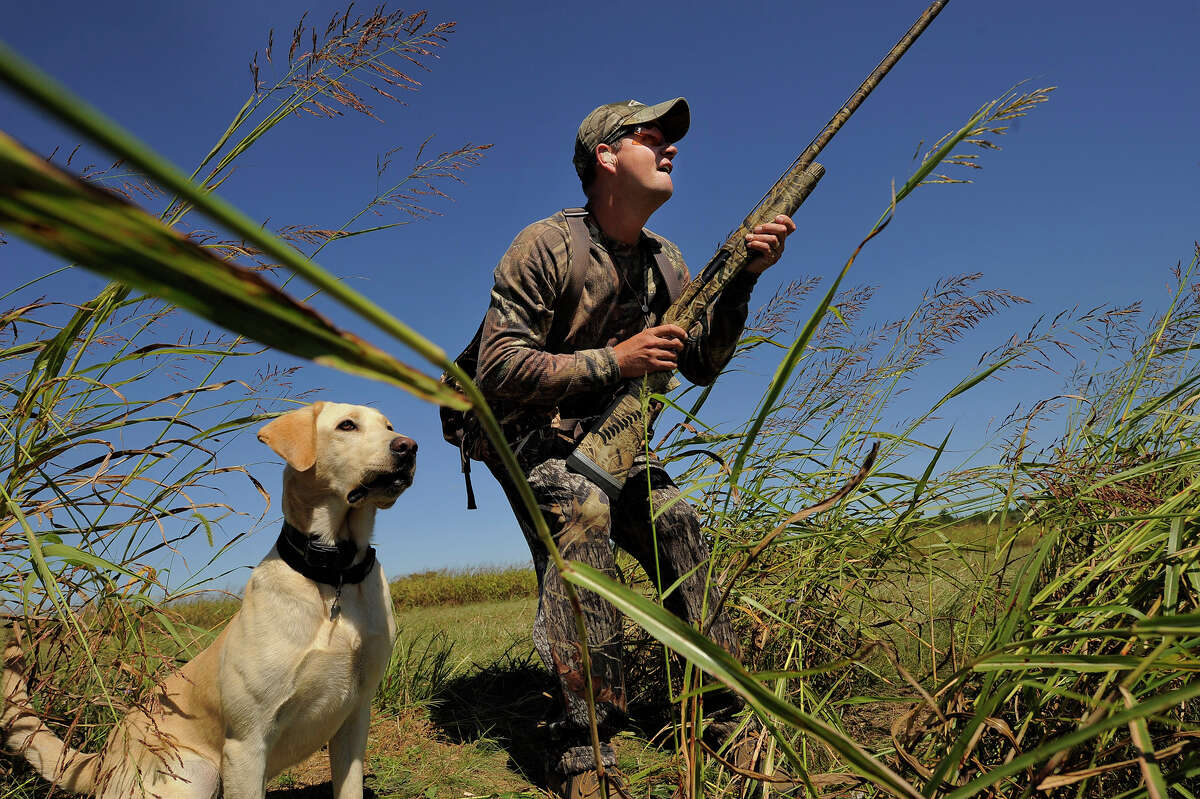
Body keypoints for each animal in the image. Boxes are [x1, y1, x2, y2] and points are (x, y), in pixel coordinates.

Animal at [3, 400, 417, 791]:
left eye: (389, 426)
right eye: (347, 425)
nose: (409, 446)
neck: (334, 576)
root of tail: (101, 760)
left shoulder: (354, 717)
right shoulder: (247, 742)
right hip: (195, 770)